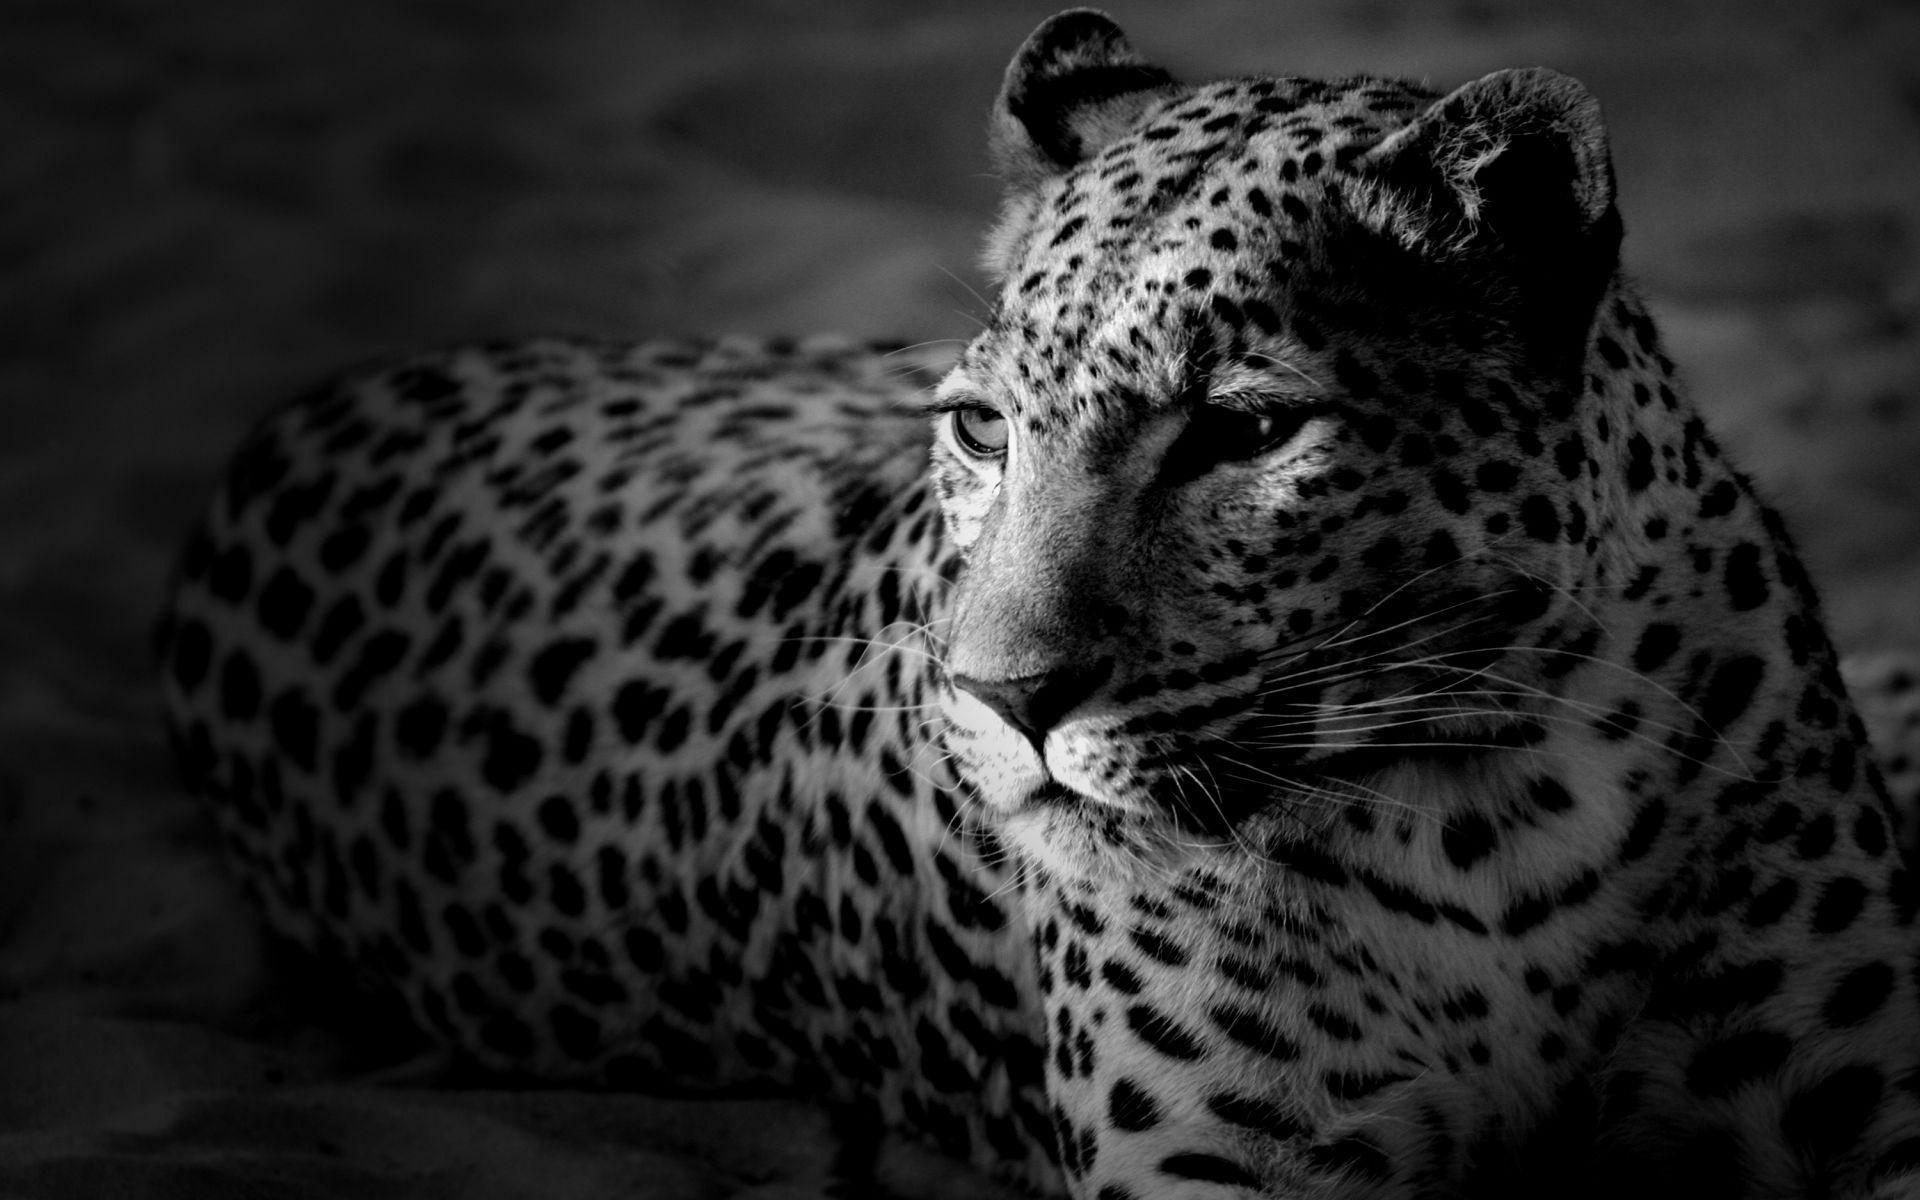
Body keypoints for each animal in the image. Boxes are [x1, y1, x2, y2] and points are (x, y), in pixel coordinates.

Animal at [158, 10, 1920, 1199]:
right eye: (981, 427)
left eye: (1244, 434)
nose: (1003, 704)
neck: (1493, 811)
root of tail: (302, 416)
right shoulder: (1227, 1172)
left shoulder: (1869, 1090)